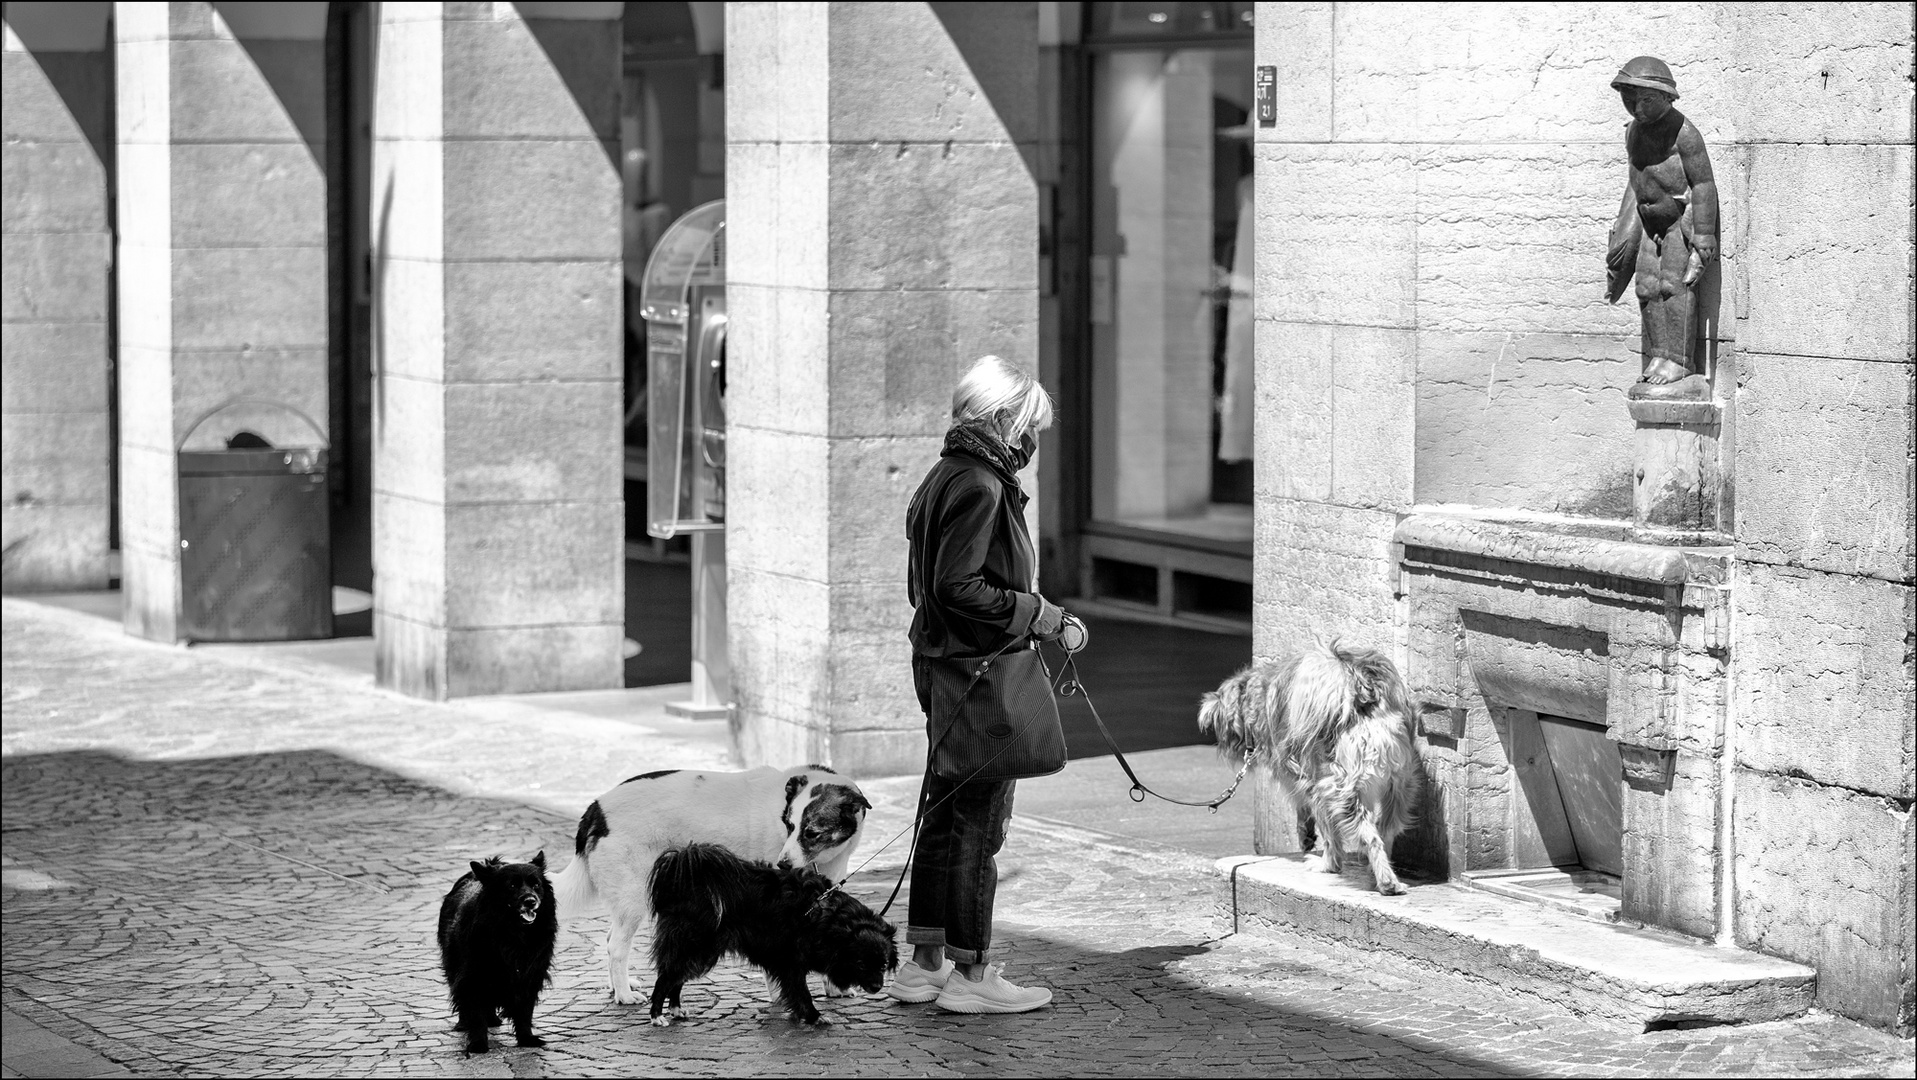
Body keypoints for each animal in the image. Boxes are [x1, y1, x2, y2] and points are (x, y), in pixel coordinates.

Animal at [437, 855, 555, 1058]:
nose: (531, 901)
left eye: (536, 885)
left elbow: (524, 1011)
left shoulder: (529, 975)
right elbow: (475, 1011)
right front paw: (477, 1044)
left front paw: (527, 1039)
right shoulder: (473, 975)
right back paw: (463, 1023)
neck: (513, 933)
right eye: (512, 886)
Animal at [552, 767, 874, 1005]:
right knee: (616, 946)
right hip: (634, 899)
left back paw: (619, 986)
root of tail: (595, 808)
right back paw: (624, 995)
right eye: (789, 826)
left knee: (610, 940)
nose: (783, 864)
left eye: (812, 833)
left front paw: (834, 987)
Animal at [644, 840, 897, 1028]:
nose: (877, 987)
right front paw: (814, 1016)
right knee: (666, 978)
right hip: (697, 945)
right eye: (860, 964)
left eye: (884, 965)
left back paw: (676, 1009)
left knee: (676, 978)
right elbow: (801, 992)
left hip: (699, 950)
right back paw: (657, 1016)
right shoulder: (790, 961)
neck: (826, 918)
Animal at [1196, 640, 1426, 897]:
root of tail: (1363, 690)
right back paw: (1377, 871)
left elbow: (1320, 823)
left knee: (1360, 837)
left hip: (1336, 788)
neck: (1259, 695)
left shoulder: (1298, 773)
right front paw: (1305, 833)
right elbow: (1303, 810)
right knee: (1385, 831)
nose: (1224, 746)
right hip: (1401, 783)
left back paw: (1370, 877)